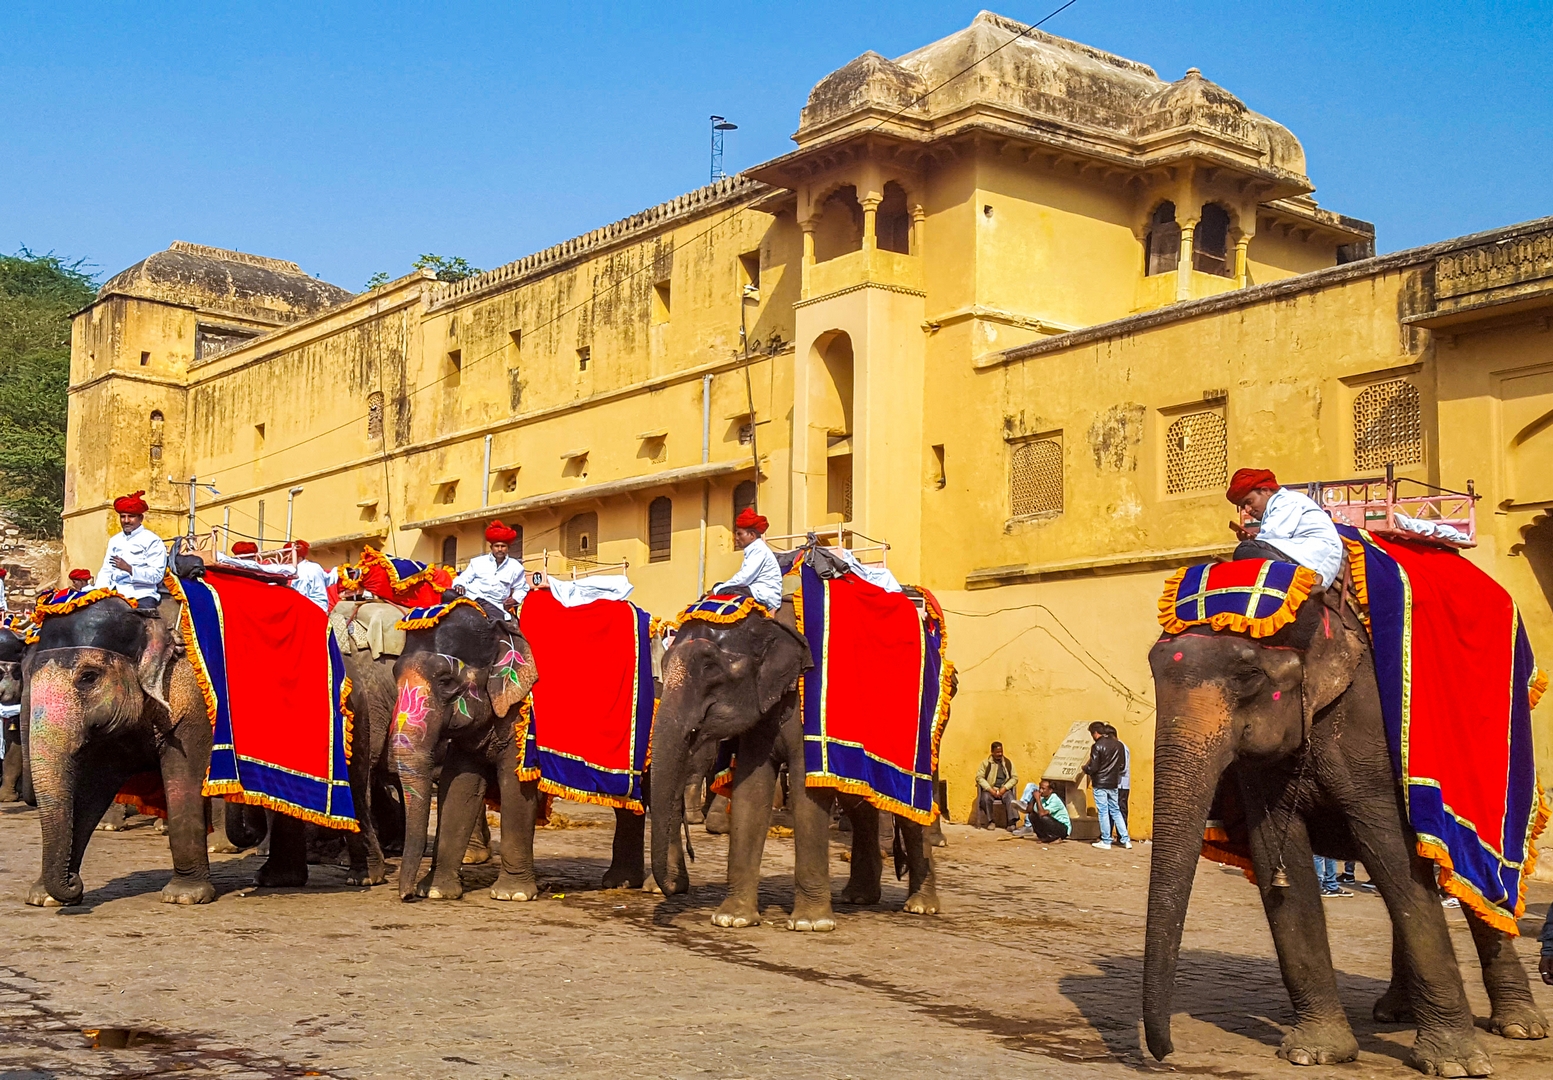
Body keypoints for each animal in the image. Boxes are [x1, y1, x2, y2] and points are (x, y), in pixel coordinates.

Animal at [391, 599, 658, 901]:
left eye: (446, 681)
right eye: (393, 675)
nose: (407, 896)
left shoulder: (521, 720)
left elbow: (515, 788)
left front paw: (512, 895)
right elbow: (459, 788)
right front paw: (436, 892)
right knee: (629, 808)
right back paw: (621, 883)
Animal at [649, 602, 938, 932]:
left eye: (711, 669)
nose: (675, 886)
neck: (768, 624)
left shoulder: (806, 703)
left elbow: (805, 789)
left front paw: (810, 925)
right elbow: (751, 788)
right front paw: (732, 919)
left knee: (912, 808)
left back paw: (920, 906)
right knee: (858, 803)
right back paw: (858, 897)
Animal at [1143, 584, 1540, 1075]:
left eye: (1248, 674)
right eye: (1153, 669)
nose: (1167, 1054)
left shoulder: (1368, 738)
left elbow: (1392, 854)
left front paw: (1457, 1065)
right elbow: (1279, 858)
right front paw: (1315, 1053)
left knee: (1474, 884)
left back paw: (1520, 1026)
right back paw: (1395, 1011)